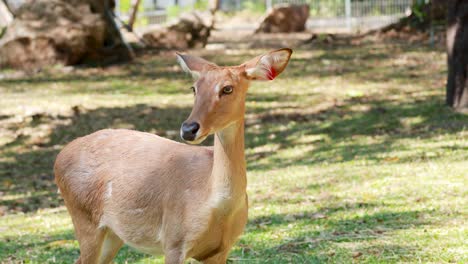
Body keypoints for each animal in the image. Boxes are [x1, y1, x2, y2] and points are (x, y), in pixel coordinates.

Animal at [53, 48, 290, 264]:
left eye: (227, 88)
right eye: (194, 88)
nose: (189, 129)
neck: (215, 204)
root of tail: (59, 158)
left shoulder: (221, 249)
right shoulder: (174, 240)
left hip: (112, 233)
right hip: (84, 219)